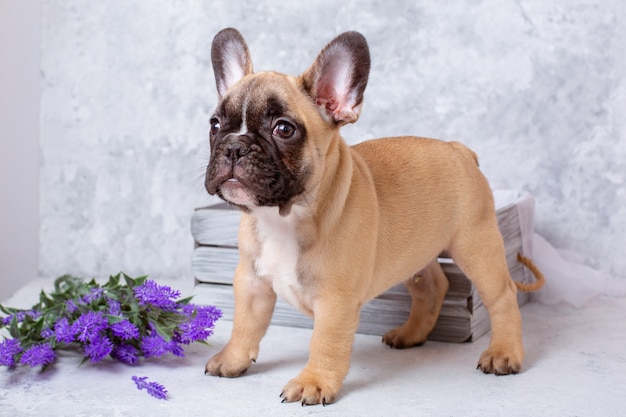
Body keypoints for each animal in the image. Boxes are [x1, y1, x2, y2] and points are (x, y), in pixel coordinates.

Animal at [204, 27, 520, 404]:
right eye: (215, 124)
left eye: (284, 129)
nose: (233, 146)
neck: (282, 218)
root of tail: (458, 150)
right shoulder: (251, 281)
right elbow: (244, 325)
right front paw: (232, 359)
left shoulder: (335, 302)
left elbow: (325, 343)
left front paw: (314, 382)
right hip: (416, 251)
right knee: (432, 286)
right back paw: (411, 334)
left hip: (476, 244)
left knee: (502, 294)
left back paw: (504, 353)